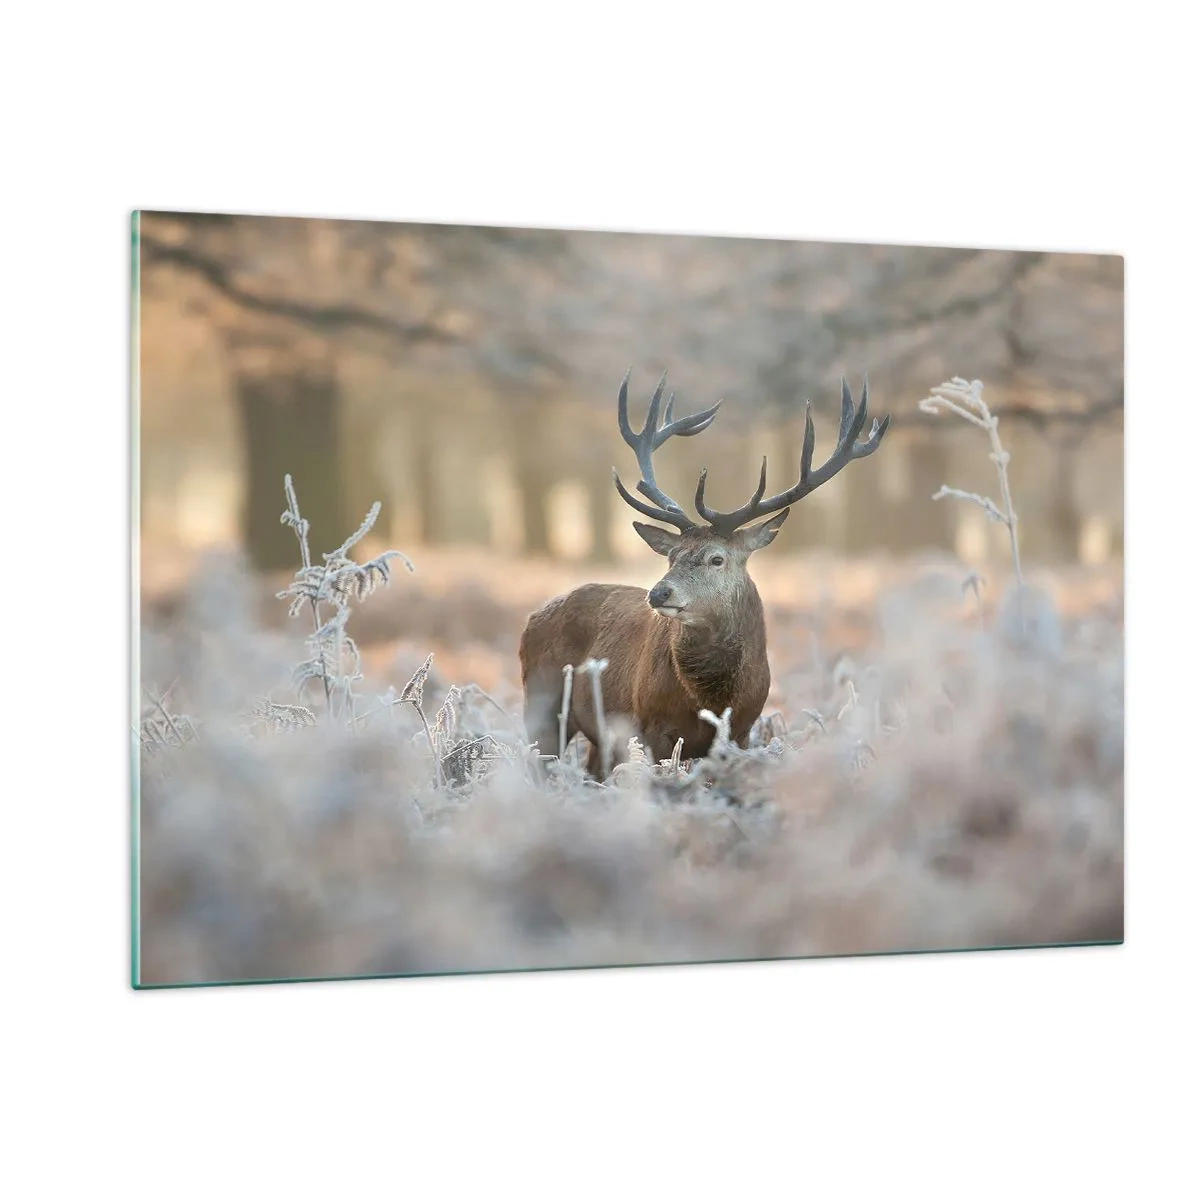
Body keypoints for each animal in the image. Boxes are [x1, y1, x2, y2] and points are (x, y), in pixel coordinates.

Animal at [519, 370, 890, 778]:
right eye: (671, 556)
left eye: (717, 559)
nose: (659, 593)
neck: (710, 698)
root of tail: (534, 616)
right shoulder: (650, 727)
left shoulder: (742, 730)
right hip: (540, 702)